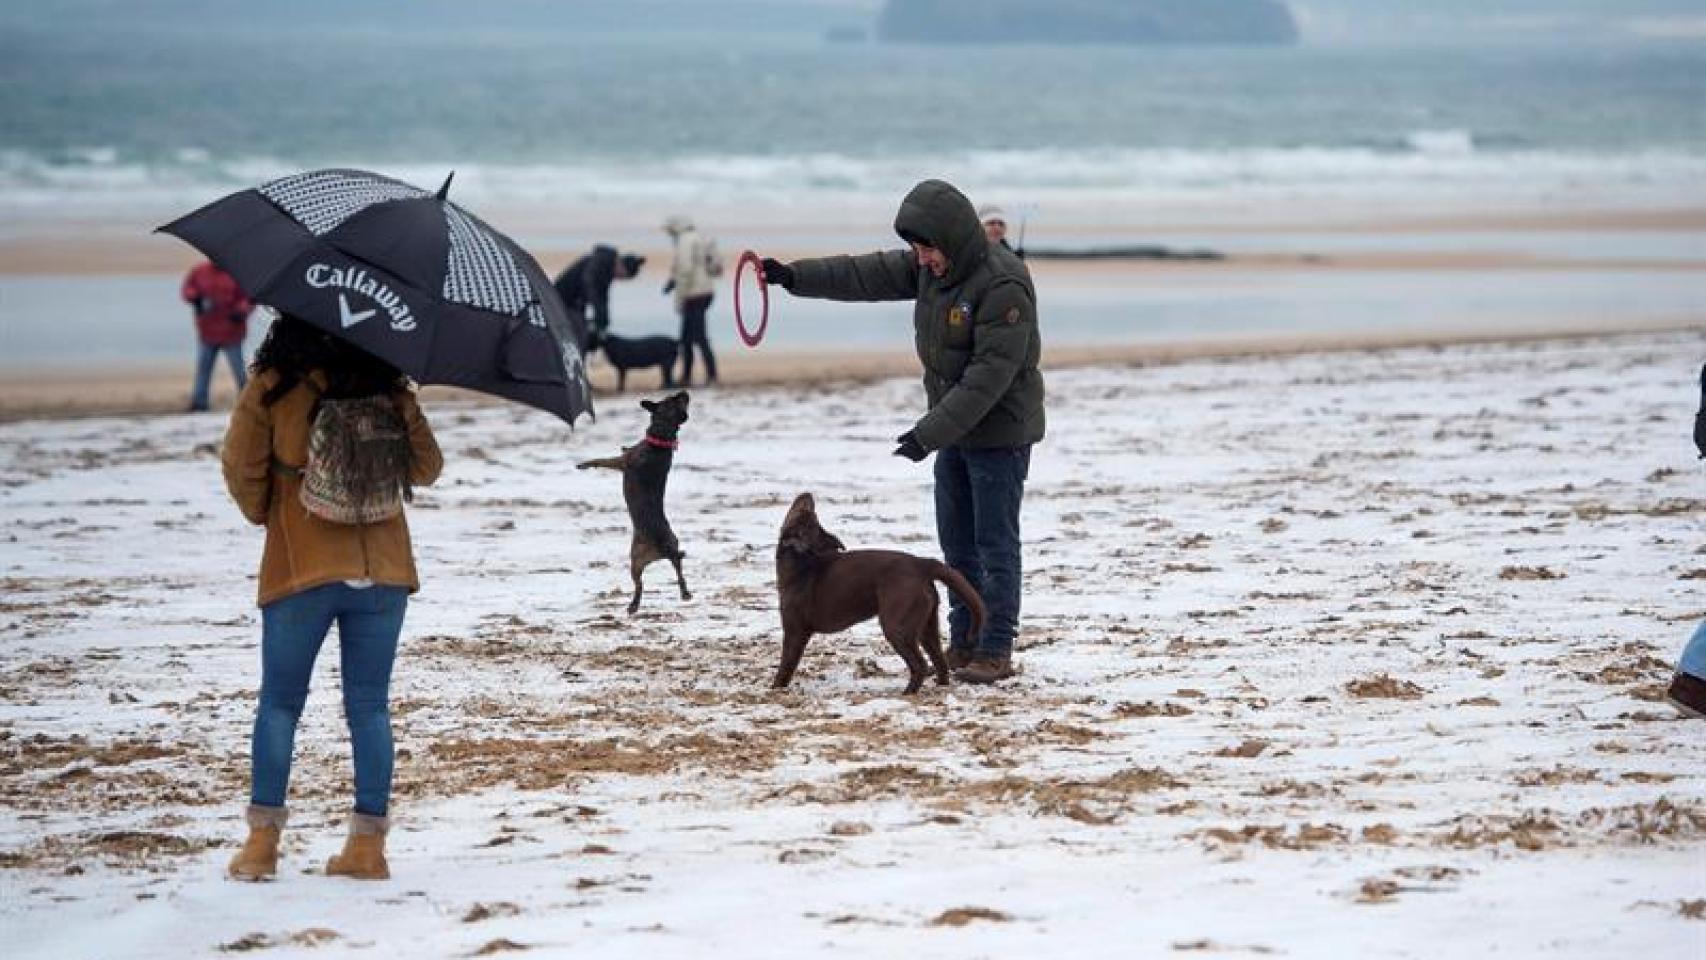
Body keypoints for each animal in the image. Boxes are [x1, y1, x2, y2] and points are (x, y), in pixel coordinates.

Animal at [576, 392, 689, 613]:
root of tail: (662, 549)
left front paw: (584, 464)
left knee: (640, 585)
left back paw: (633, 605)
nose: (685, 392)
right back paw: (685, 593)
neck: (661, 441)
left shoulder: (621, 462)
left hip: (634, 561)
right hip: (670, 548)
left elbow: (602, 460)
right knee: (678, 570)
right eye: (674, 398)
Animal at [774, 494, 989, 692]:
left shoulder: (795, 632)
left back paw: (908, 692)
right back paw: (940, 686)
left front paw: (775, 688)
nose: (807, 495)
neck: (800, 563)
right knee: (939, 661)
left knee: (920, 664)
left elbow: (785, 667)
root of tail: (922, 564)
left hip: (896, 626)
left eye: (807, 515)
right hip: (927, 626)